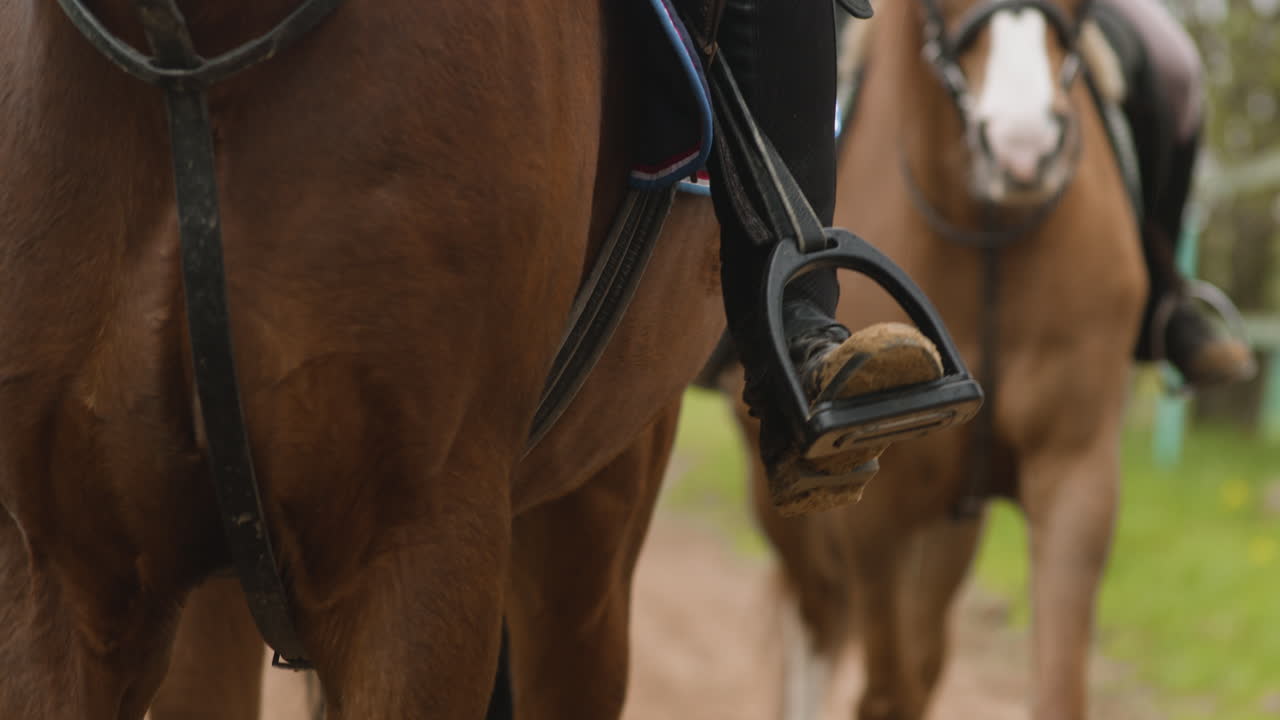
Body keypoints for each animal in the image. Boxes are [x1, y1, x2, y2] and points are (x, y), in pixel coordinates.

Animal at [707, 0, 1147, 717]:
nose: (1022, 149)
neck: (990, 232)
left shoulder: (1077, 469)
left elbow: (1051, 686)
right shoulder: (877, 509)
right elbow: (889, 685)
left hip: (950, 523)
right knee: (819, 621)